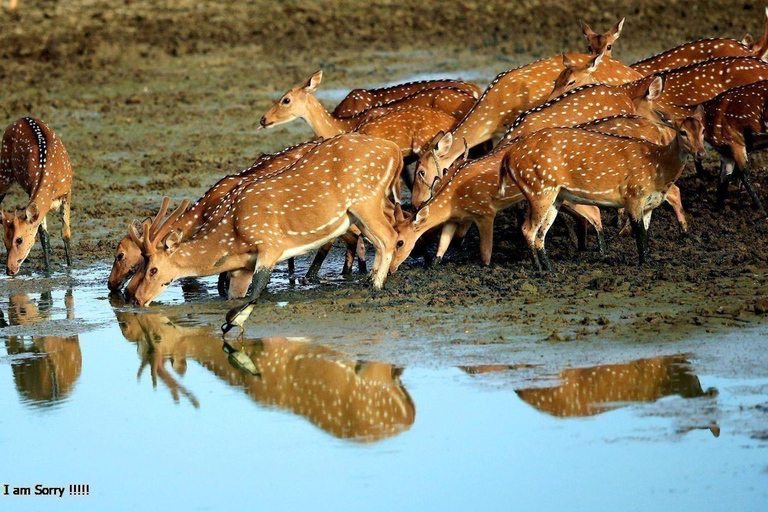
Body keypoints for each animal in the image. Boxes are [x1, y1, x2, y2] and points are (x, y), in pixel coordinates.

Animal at [0, 118, 73, 276]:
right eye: (4, 241)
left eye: (19, 240)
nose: (10, 270)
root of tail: (20, 119)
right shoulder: (31, 191)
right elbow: (44, 235)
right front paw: (48, 271)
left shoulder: (67, 193)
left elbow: (65, 232)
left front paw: (70, 266)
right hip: (5, 169)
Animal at [498, 111, 708, 268]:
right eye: (682, 132)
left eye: (703, 130)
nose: (701, 153)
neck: (657, 167)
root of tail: (507, 158)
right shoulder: (633, 195)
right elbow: (639, 232)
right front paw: (644, 263)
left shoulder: (649, 204)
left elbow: (646, 232)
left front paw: (648, 259)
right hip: (539, 189)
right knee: (527, 229)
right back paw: (540, 269)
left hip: (554, 197)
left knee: (541, 233)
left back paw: (549, 267)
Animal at [704, 79, 768, 215]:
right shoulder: (725, 150)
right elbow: (724, 178)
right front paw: (717, 210)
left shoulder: (735, 142)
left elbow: (744, 175)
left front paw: (761, 210)